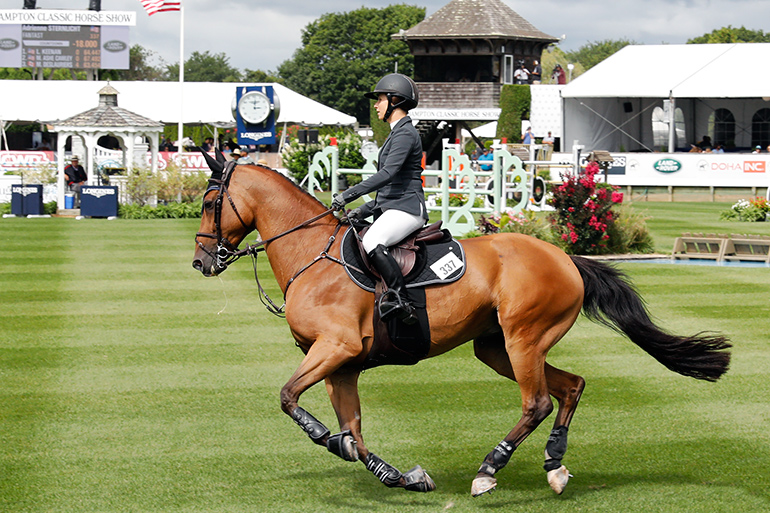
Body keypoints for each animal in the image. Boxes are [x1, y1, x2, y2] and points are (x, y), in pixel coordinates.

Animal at [189, 151, 728, 496]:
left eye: (211, 203)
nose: (201, 262)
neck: (311, 256)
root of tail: (566, 258)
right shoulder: (342, 366)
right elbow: (355, 432)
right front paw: (400, 476)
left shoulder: (336, 349)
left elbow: (289, 400)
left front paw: (331, 441)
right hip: (497, 348)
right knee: (571, 387)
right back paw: (554, 465)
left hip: (523, 339)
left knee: (536, 402)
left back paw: (490, 469)